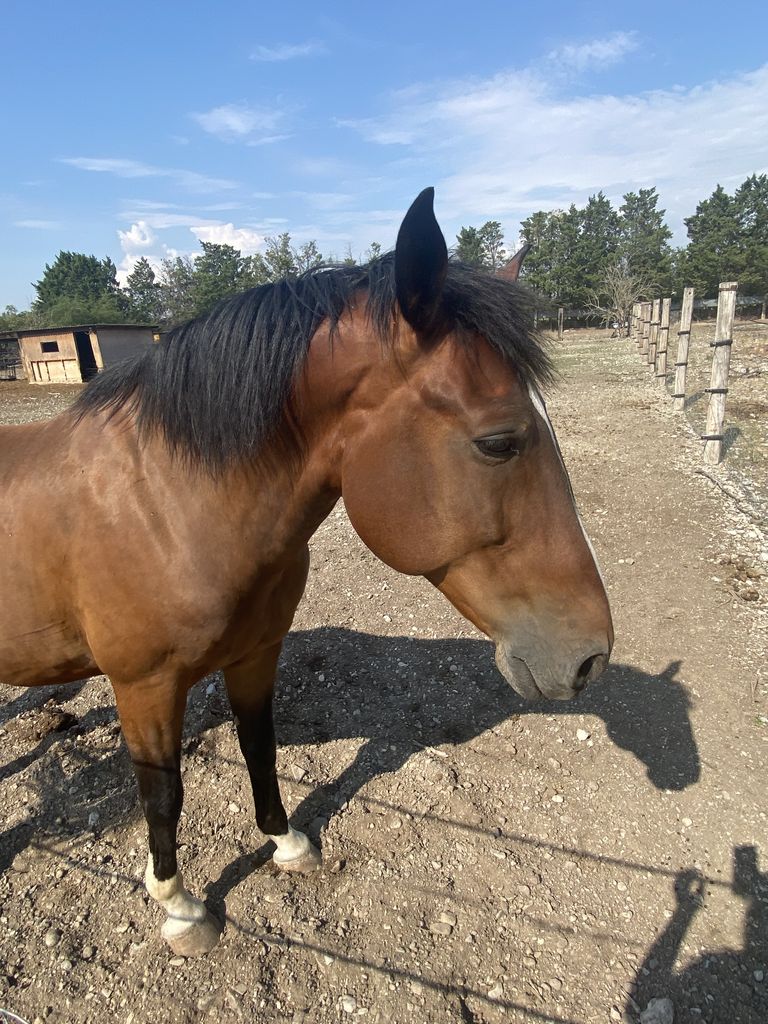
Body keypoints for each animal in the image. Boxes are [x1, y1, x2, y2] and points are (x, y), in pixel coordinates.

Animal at [0, 190, 614, 958]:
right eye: (499, 443)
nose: (591, 656)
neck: (164, 501)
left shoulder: (256, 653)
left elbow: (258, 746)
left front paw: (286, 842)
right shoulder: (143, 687)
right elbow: (163, 795)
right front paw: (180, 908)